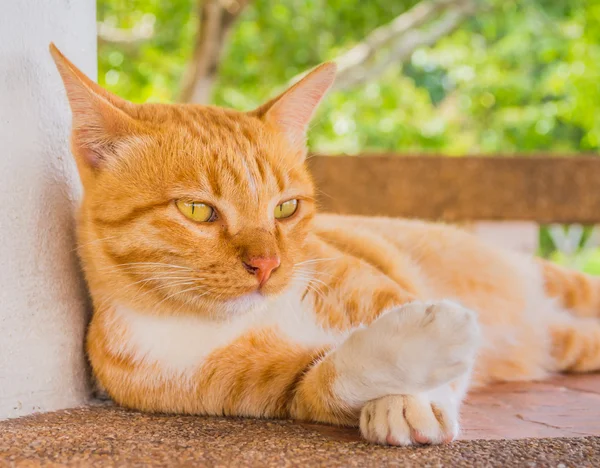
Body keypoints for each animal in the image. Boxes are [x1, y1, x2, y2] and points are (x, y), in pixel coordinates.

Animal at [50, 44, 600, 446]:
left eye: (286, 208)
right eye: (197, 210)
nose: (268, 264)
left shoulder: (384, 290)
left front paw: (413, 395)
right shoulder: (282, 391)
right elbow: (332, 373)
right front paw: (409, 368)